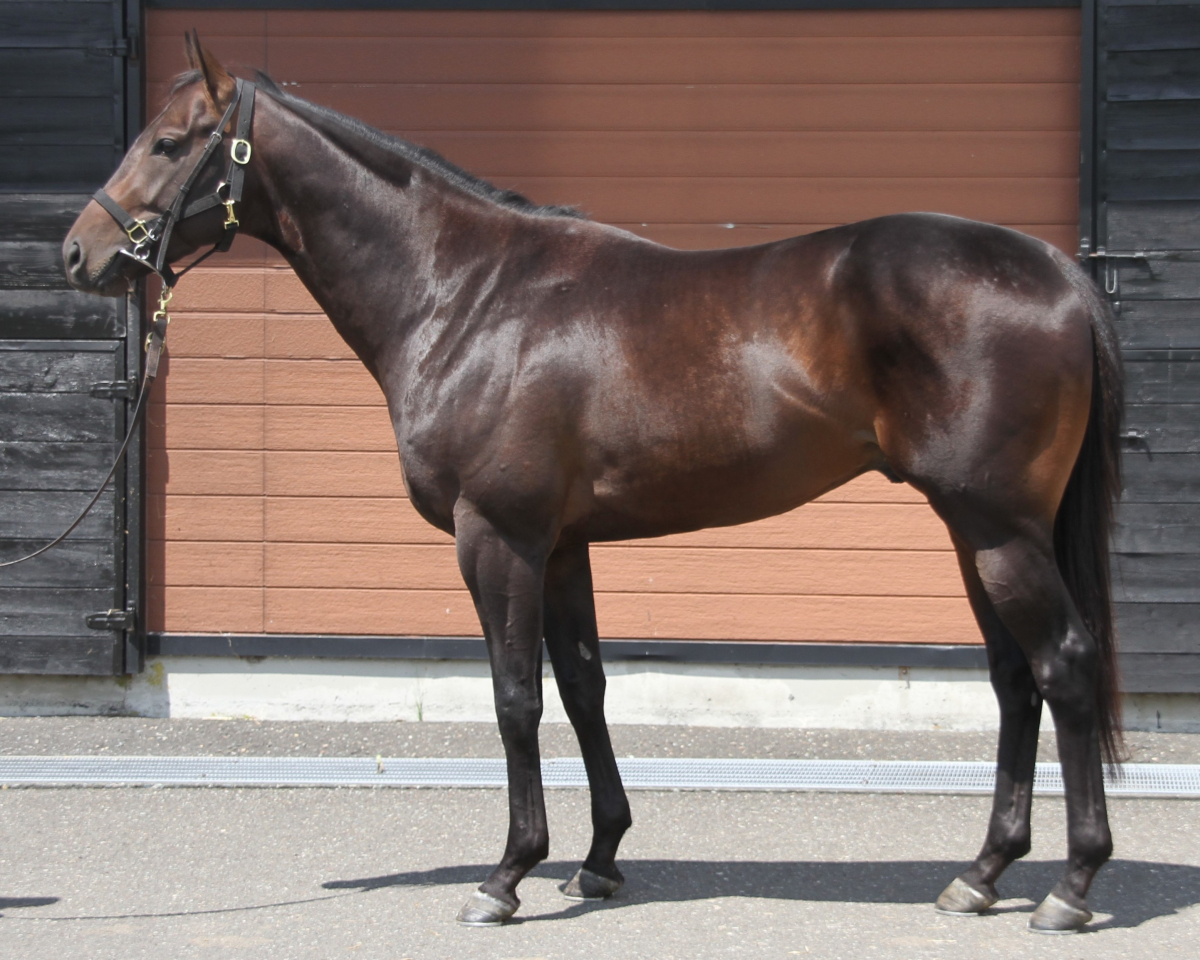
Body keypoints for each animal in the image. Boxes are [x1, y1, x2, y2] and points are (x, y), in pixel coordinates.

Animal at [64, 34, 1124, 933]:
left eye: (169, 142)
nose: (79, 252)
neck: (470, 295)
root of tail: (1057, 271)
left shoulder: (497, 536)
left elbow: (515, 698)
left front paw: (505, 877)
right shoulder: (562, 542)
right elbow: (583, 687)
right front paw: (600, 859)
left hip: (998, 528)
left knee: (1064, 666)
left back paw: (1071, 888)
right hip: (974, 530)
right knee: (1015, 679)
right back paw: (981, 874)